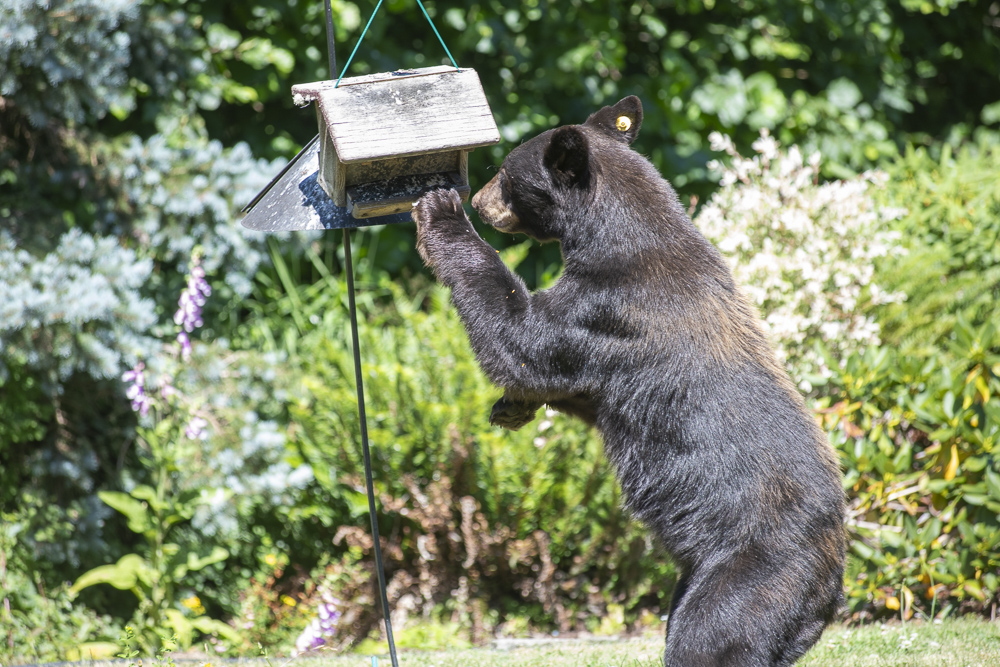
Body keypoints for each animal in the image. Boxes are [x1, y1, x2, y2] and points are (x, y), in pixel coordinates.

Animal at [411, 95, 845, 667]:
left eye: (505, 172)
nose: (480, 202)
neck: (618, 234)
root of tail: (832, 584)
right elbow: (574, 386)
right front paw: (510, 408)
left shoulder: (609, 309)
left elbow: (524, 341)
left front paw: (440, 213)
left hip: (754, 573)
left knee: (707, 637)